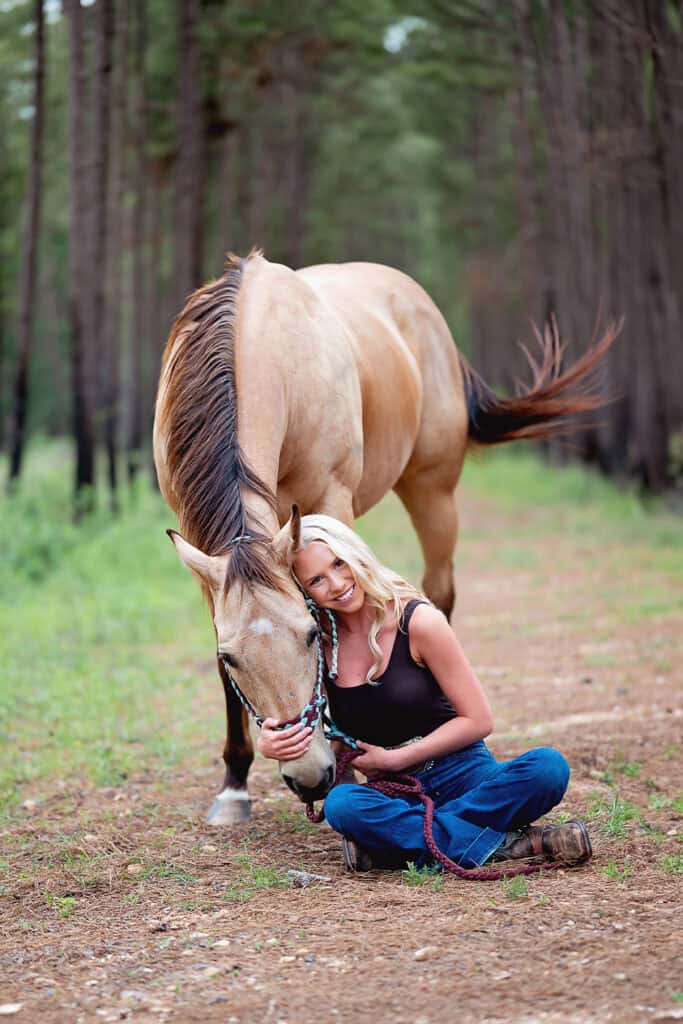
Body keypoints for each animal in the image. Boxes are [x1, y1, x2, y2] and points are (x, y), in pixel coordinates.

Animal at [152, 247, 618, 823]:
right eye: (231, 657)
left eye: (308, 638)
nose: (308, 777)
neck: (270, 353)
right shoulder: (201, 545)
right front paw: (234, 787)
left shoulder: (329, 502)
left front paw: (347, 766)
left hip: (432, 490)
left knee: (438, 593)